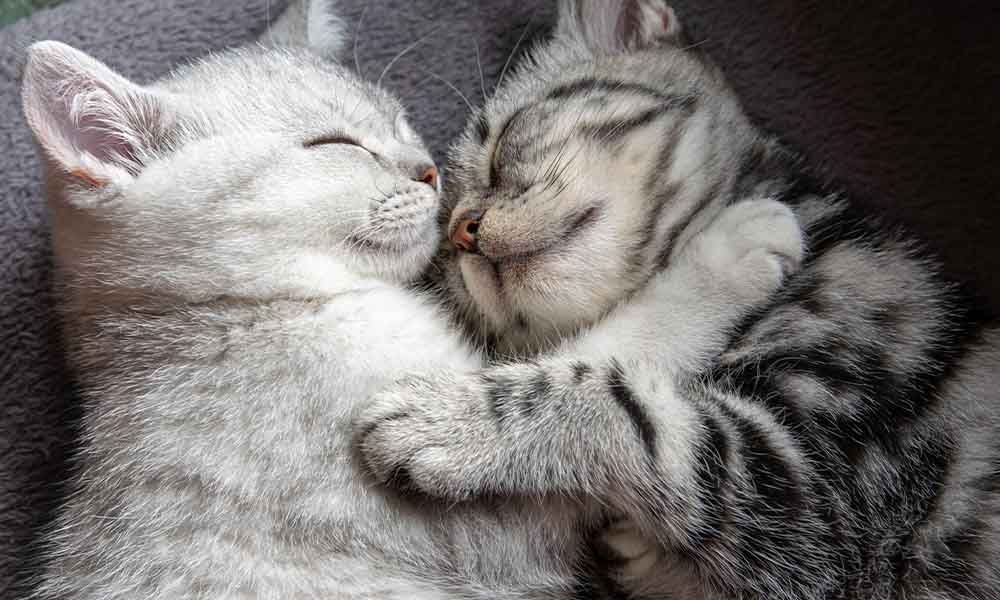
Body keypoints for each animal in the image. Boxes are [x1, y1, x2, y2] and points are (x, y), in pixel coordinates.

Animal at [21, 2, 804, 596]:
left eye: (401, 125)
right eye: (335, 143)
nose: (428, 171)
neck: (240, 314)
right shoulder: (493, 533)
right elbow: (603, 355)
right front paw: (729, 250)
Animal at [356, 1, 1000, 600]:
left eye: (504, 144)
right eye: (443, 256)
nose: (463, 231)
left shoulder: (814, 497)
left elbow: (634, 413)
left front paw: (448, 418)